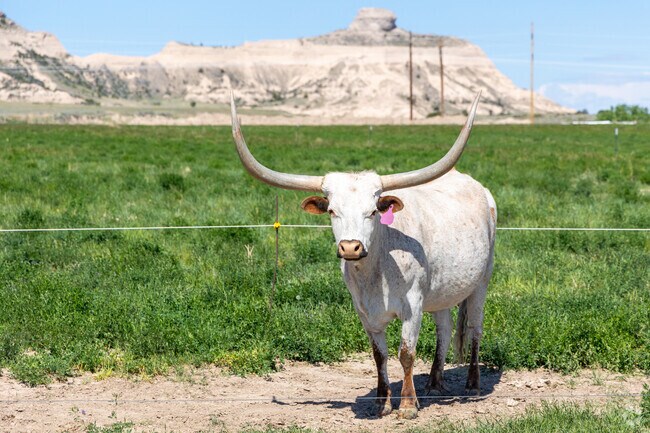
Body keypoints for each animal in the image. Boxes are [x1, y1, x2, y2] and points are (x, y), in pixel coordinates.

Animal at [229, 92, 496, 419]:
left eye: (373, 212)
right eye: (332, 211)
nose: (350, 247)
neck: (377, 271)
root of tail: (478, 187)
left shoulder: (413, 305)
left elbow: (406, 353)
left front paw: (408, 405)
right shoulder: (365, 312)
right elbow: (379, 355)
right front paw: (382, 402)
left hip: (482, 281)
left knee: (475, 328)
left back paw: (472, 383)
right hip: (441, 291)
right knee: (444, 330)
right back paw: (434, 383)